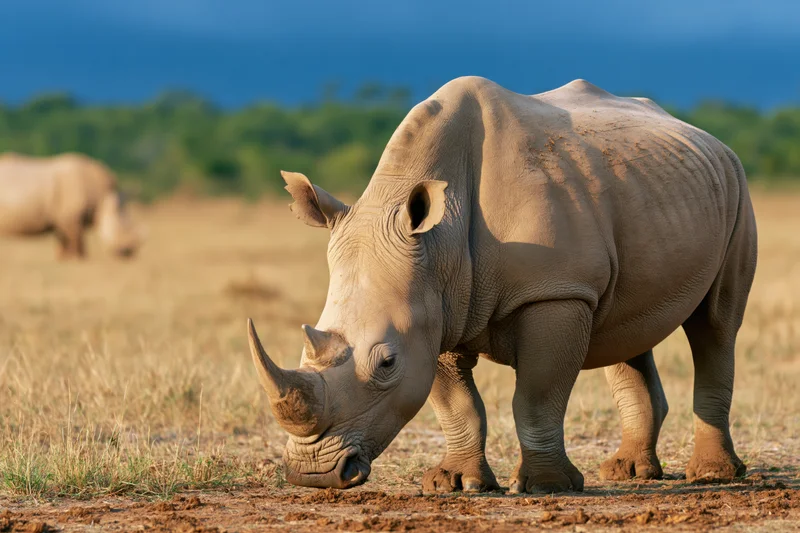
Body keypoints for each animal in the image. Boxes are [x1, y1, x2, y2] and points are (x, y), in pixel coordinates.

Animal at [0, 152, 141, 259]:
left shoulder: (63, 218)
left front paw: (63, 259)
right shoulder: (71, 216)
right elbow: (76, 239)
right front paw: (78, 259)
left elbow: (64, 239)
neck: (102, 197)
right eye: (119, 229)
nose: (129, 254)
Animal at [247, 77, 757, 493]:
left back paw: (712, 475)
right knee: (626, 332)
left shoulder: (554, 289)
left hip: (736, 186)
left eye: (387, 363)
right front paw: (455, 483)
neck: (439, 242)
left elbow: (536, 395)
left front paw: (547, 487)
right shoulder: (438, 305)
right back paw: (628, 473)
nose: (315, 475)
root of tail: (702, 133)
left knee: (716, 324)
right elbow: (458, 405)